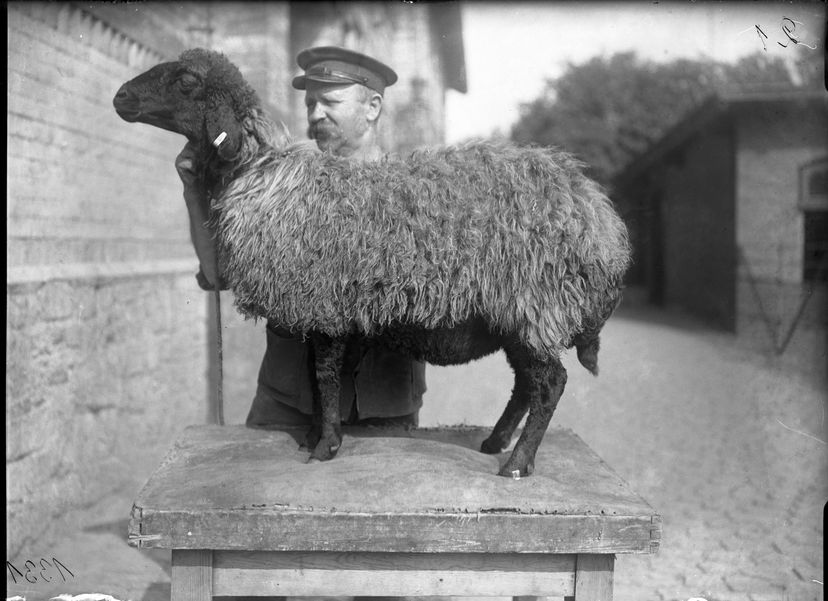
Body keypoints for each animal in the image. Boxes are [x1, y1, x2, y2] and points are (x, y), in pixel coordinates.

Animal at [110, 49, 628, 476]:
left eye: (186, 81)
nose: (120, 97)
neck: (264, 177)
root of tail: (598, 213)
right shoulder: (321, 310)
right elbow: (319, 382)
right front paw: (316, 437)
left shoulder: (322, 303)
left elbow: (325, 379)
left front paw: (325, 448)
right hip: (515, 316)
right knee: (525, 385)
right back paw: (495, 442)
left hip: (536, 302)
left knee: (550, 384)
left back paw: (518, 464)